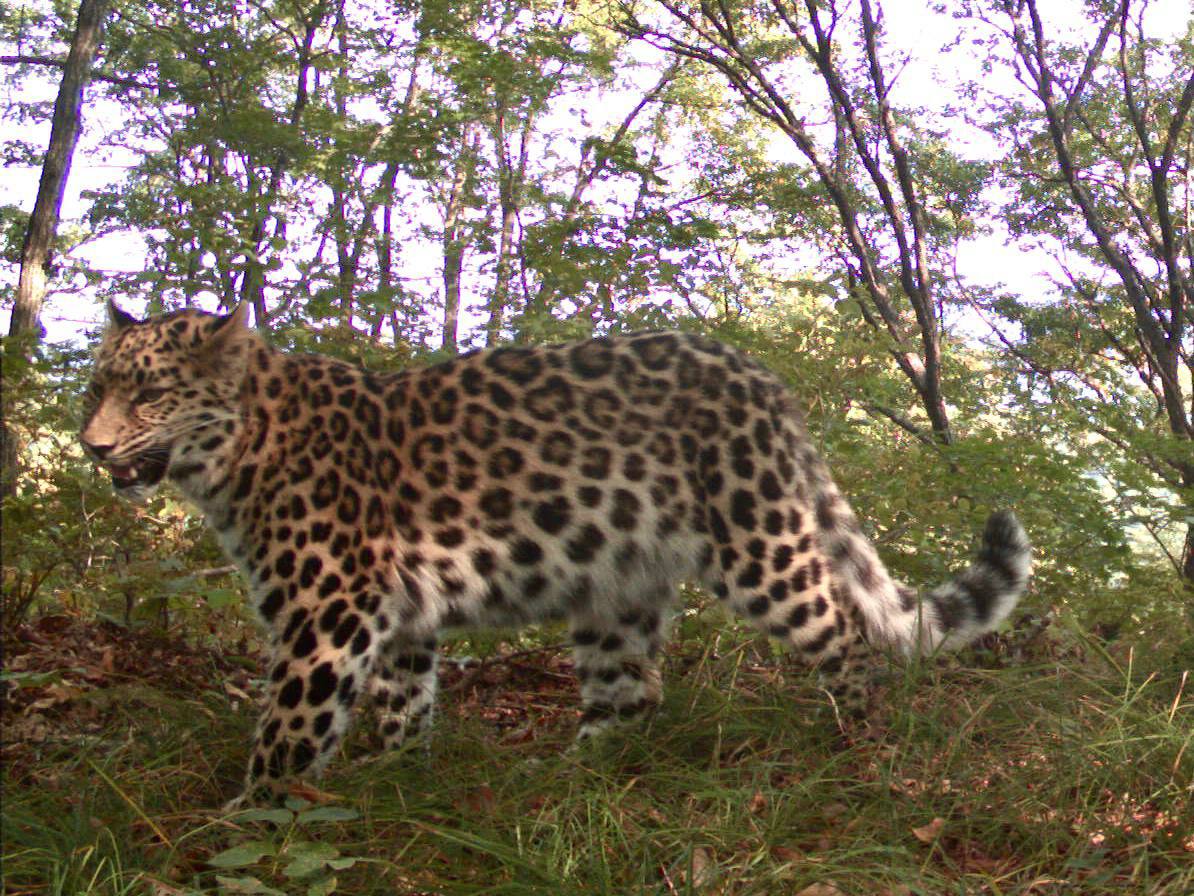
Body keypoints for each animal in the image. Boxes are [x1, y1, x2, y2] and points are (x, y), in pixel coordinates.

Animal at [79, 305, 1031, 812]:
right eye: (98, 386)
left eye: (149, 392)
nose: (90, 446)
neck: (237, 456)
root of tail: (761, 377)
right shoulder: (394, 614)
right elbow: (403, 705)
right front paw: (398, 780)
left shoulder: (328, 613)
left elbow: (287, 730)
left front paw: (244, 819)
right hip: (619, 581)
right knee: (631, 694)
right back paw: (568, 778)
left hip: (757, 540)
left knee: (842, 633)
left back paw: (855, 746)